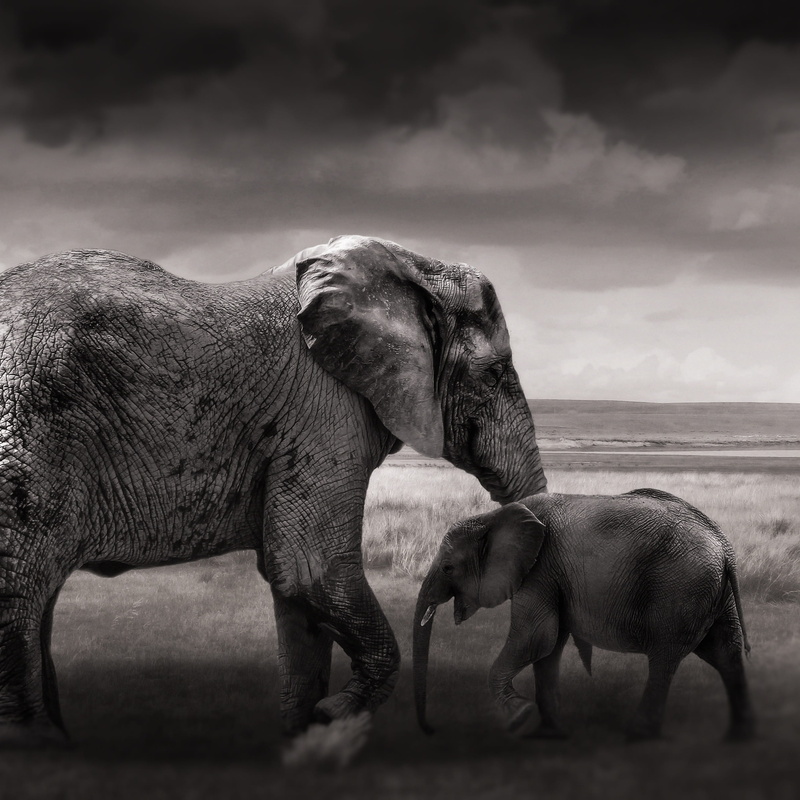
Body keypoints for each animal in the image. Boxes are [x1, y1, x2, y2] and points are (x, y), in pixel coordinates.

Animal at [0, 234, 547, 747]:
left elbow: (298, 593)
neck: (415, 269)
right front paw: (333, 713)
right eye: (494, 373)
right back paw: (42, 745)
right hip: (31, 431)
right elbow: (310, 568)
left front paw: (306, 734)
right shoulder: (325, 411)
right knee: (22, 584)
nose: (521, 716)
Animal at [414, 488, 755, 742]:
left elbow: (535, 638)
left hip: (680, 588)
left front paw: (519, 717)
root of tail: (724, 546)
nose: (431, 730)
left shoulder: (540, 570)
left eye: (448, 567)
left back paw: (637, 734)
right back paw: (738, 737)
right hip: (714, 592)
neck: (492, 517)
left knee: (664, 658)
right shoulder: (554, 576)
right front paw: (548, 733)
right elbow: (548, 648)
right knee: (725, 652)